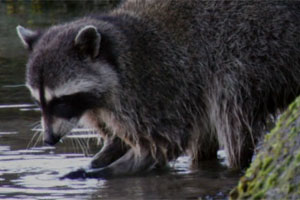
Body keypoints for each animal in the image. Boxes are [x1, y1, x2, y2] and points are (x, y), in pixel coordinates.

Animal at [17, 0, 300, 178]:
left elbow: (163, 143)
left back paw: (236, 166)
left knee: (231, 113)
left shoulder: (156, 86)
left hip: (254, 55)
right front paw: (100, 158)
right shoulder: (104, 107)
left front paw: (106, 170)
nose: (49, 140)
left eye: (61, 101)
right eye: (39, 102)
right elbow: (119, 138)